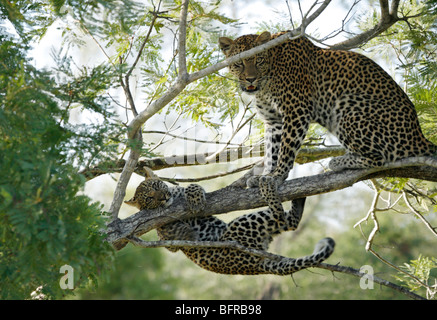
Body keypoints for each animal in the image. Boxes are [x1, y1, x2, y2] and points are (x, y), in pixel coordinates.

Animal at [123, 169, 334, 276]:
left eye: (157, 185)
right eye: (149, 198)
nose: (163, 197)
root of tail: (256, 265)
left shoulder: (178, 191)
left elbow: (191, 186)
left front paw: (195, 198)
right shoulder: (167, 239)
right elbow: (168, 233)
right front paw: (184, 230)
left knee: (288, 220)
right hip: (245, 225)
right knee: (286, 219)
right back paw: (273, 189)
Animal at [220, 31, 434, 189]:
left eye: (259, 60)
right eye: (239, 64)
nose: (250, 79)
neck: (266, 83)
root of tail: (419, 136)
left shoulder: (296, 110)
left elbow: (286, 149)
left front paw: (277, 176)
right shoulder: (274, 121)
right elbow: (271, 151)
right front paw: (265, 175)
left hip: (347, 108)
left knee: (379, 158)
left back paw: (338, 162)